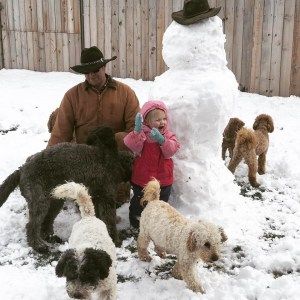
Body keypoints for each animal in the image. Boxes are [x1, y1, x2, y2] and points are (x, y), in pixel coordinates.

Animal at [0, 126, 132, 253]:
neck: (115, 162)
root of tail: (22, 169)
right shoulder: (106, 198)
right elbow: (109, 220)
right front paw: (115, 240)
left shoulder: (96, 198)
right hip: (40, 200)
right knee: (32, 225)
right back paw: (38, 246)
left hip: (55, 200)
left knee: (46, 222)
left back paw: (50, 237)